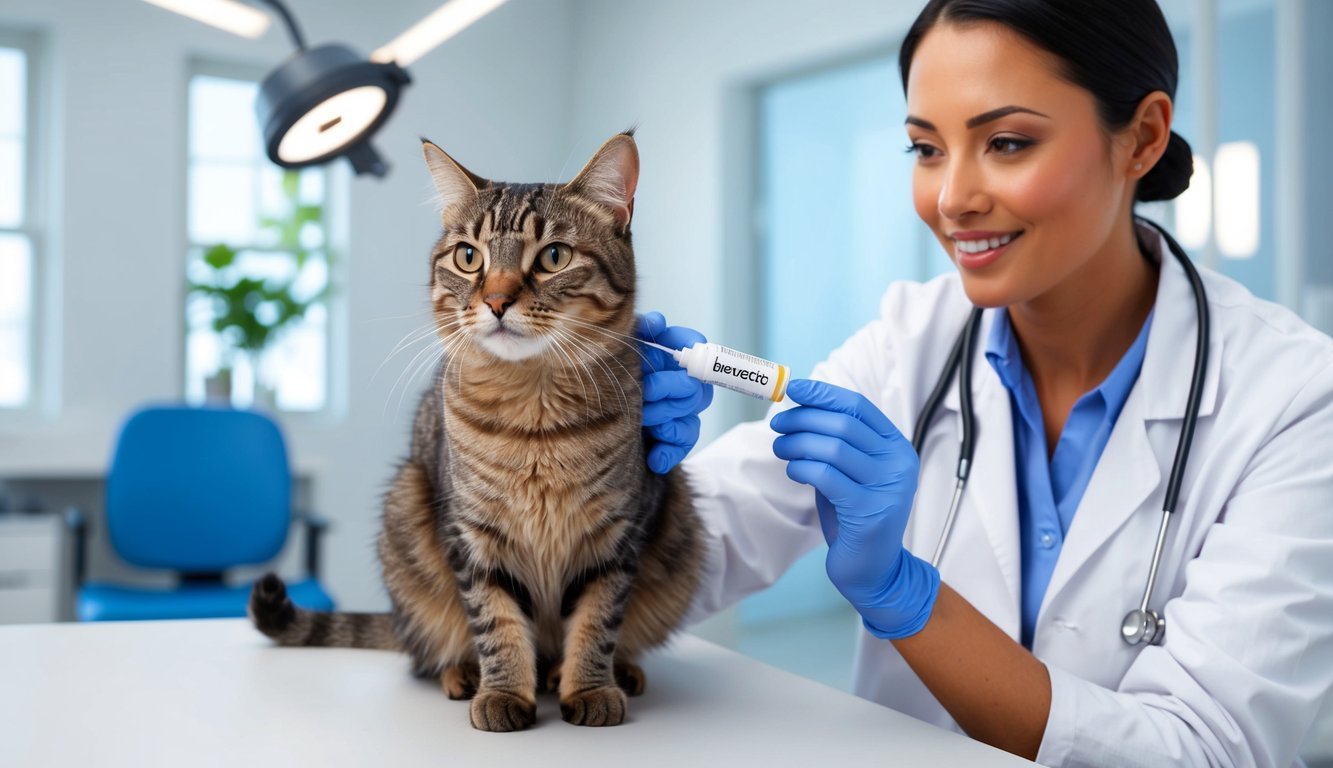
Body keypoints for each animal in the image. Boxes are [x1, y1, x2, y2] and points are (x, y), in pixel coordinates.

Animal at [250, 132, 709, 730]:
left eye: (554, 256)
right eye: (469, 257)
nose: (495, 300)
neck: (536, 419)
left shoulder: (618, 534)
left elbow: (597, 621)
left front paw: (588, 686)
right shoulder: (471, 536)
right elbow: (496, 623)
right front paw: (505, 691)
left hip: (682, 522)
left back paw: (609, 671)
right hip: (406, 510)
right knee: (430, 651)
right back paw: (464, 673)